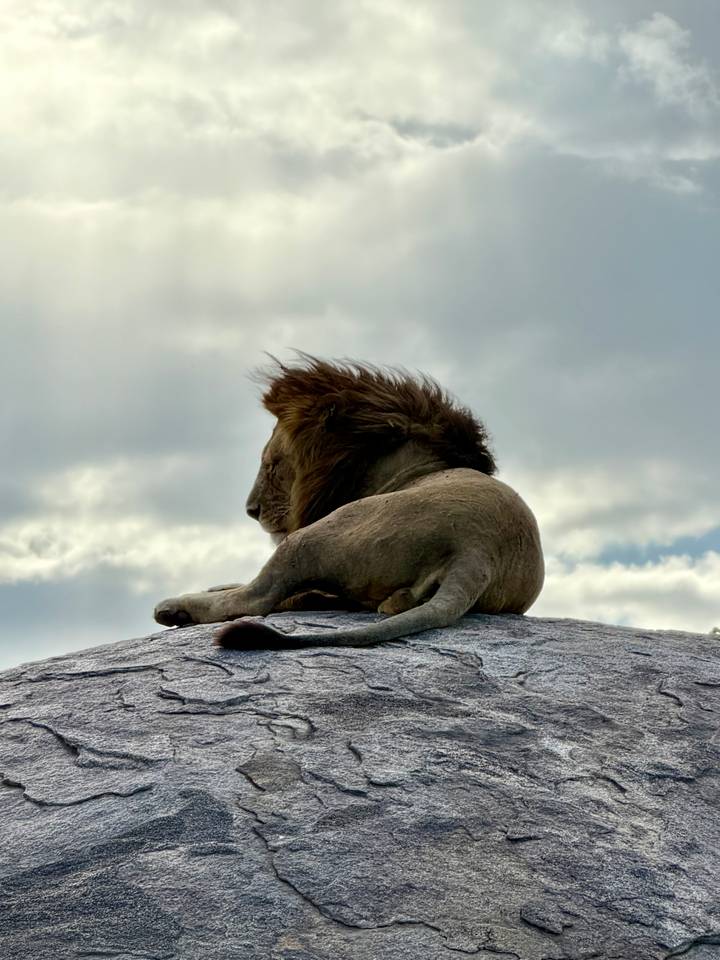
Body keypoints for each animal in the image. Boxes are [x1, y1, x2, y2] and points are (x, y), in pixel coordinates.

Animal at [154, 356, 544, 648]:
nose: (251, 510)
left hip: (318, 533)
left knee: (256, 597)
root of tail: (477, 552)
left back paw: (176, 608)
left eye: (272, 465)